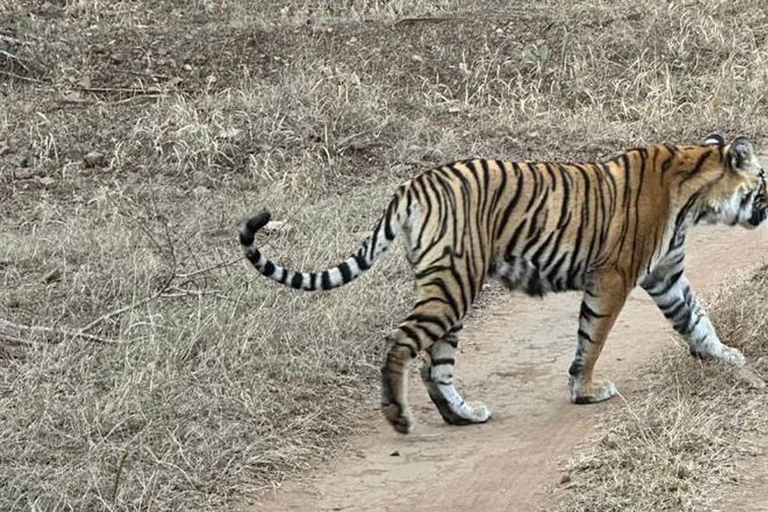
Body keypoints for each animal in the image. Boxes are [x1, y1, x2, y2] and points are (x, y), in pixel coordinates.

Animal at [237, 134, 764, 434]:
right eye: (762, 184)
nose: (764, 211)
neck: (695, 194)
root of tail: (412, 185)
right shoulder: (612, 278)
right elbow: (592, 340)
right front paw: (586, 391)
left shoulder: (666, 277)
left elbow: (697, 320)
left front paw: (729, 357)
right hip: (452, 285)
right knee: (401, 342)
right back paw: (398, 417)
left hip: (451, 288)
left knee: (435, 366)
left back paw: (462, 415)